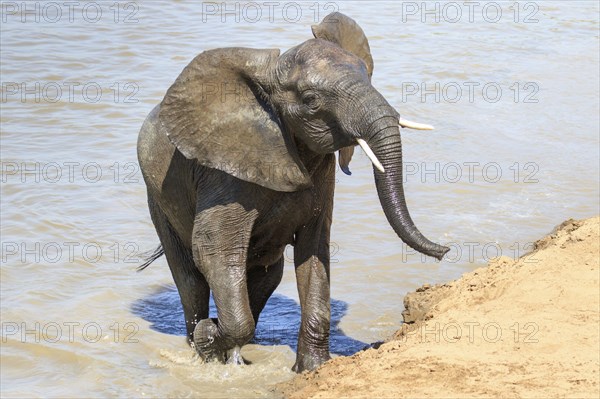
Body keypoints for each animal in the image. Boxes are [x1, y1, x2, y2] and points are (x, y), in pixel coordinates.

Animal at [138, 12, 448, 376]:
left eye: (368, 76)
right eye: (311, 101)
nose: (445, 251)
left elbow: (314, 251)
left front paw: (313, 370)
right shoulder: (222, 176)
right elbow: (213, 250)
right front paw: (208, 339)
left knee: (265, 276)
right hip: (157, 197)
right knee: (190, 277)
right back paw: (199, 343)